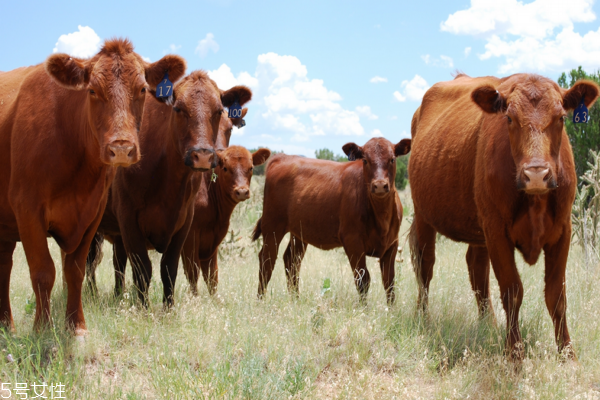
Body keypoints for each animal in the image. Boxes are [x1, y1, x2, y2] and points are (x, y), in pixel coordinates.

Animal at [0, 38, 185, 334]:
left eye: (142, 89)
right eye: (92, 90)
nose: (121, 148)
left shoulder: (91, 214)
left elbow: (75, 271)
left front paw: (76, 327)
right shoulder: (27, 209)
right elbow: (43, 271)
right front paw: (42, 327)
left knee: (4, 264)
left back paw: (6, 324)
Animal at [85, 70, 252, 304]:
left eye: (219, 111)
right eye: (178, 108)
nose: (204, 155)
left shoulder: (184, 223)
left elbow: (169, 269)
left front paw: (168, 308)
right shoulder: (129, 219)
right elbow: (143, 271)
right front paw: (143, 308)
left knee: (117, 263)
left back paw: (119, 296)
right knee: (89, 261)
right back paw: (91, 294)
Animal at [251, 138, 410, 304]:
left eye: (392, 159)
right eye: (365, 160)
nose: (379, 185)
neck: (381, 216)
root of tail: (282, 157)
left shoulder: (392, 244)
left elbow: (389, 283)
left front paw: (390, 309)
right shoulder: (353, 242)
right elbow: (363, 280)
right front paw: (364, 308)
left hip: (299, 233)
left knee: (291, 260)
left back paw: (296, 300)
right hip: (272, 226)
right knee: (267, 260)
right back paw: (260, 301)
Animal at [410, 72, 596, 360]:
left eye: (561, 118)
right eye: (509, 118)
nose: (536, 174)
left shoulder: (562, 230)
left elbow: (557, 295)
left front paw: (567, 355)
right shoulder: (497, 232)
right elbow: (512, 291)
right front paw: (514, 353)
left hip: (478, 228)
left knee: (476, 268)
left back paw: (488, 324)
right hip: (423, 215)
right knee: (425, 265)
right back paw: (423, 318)